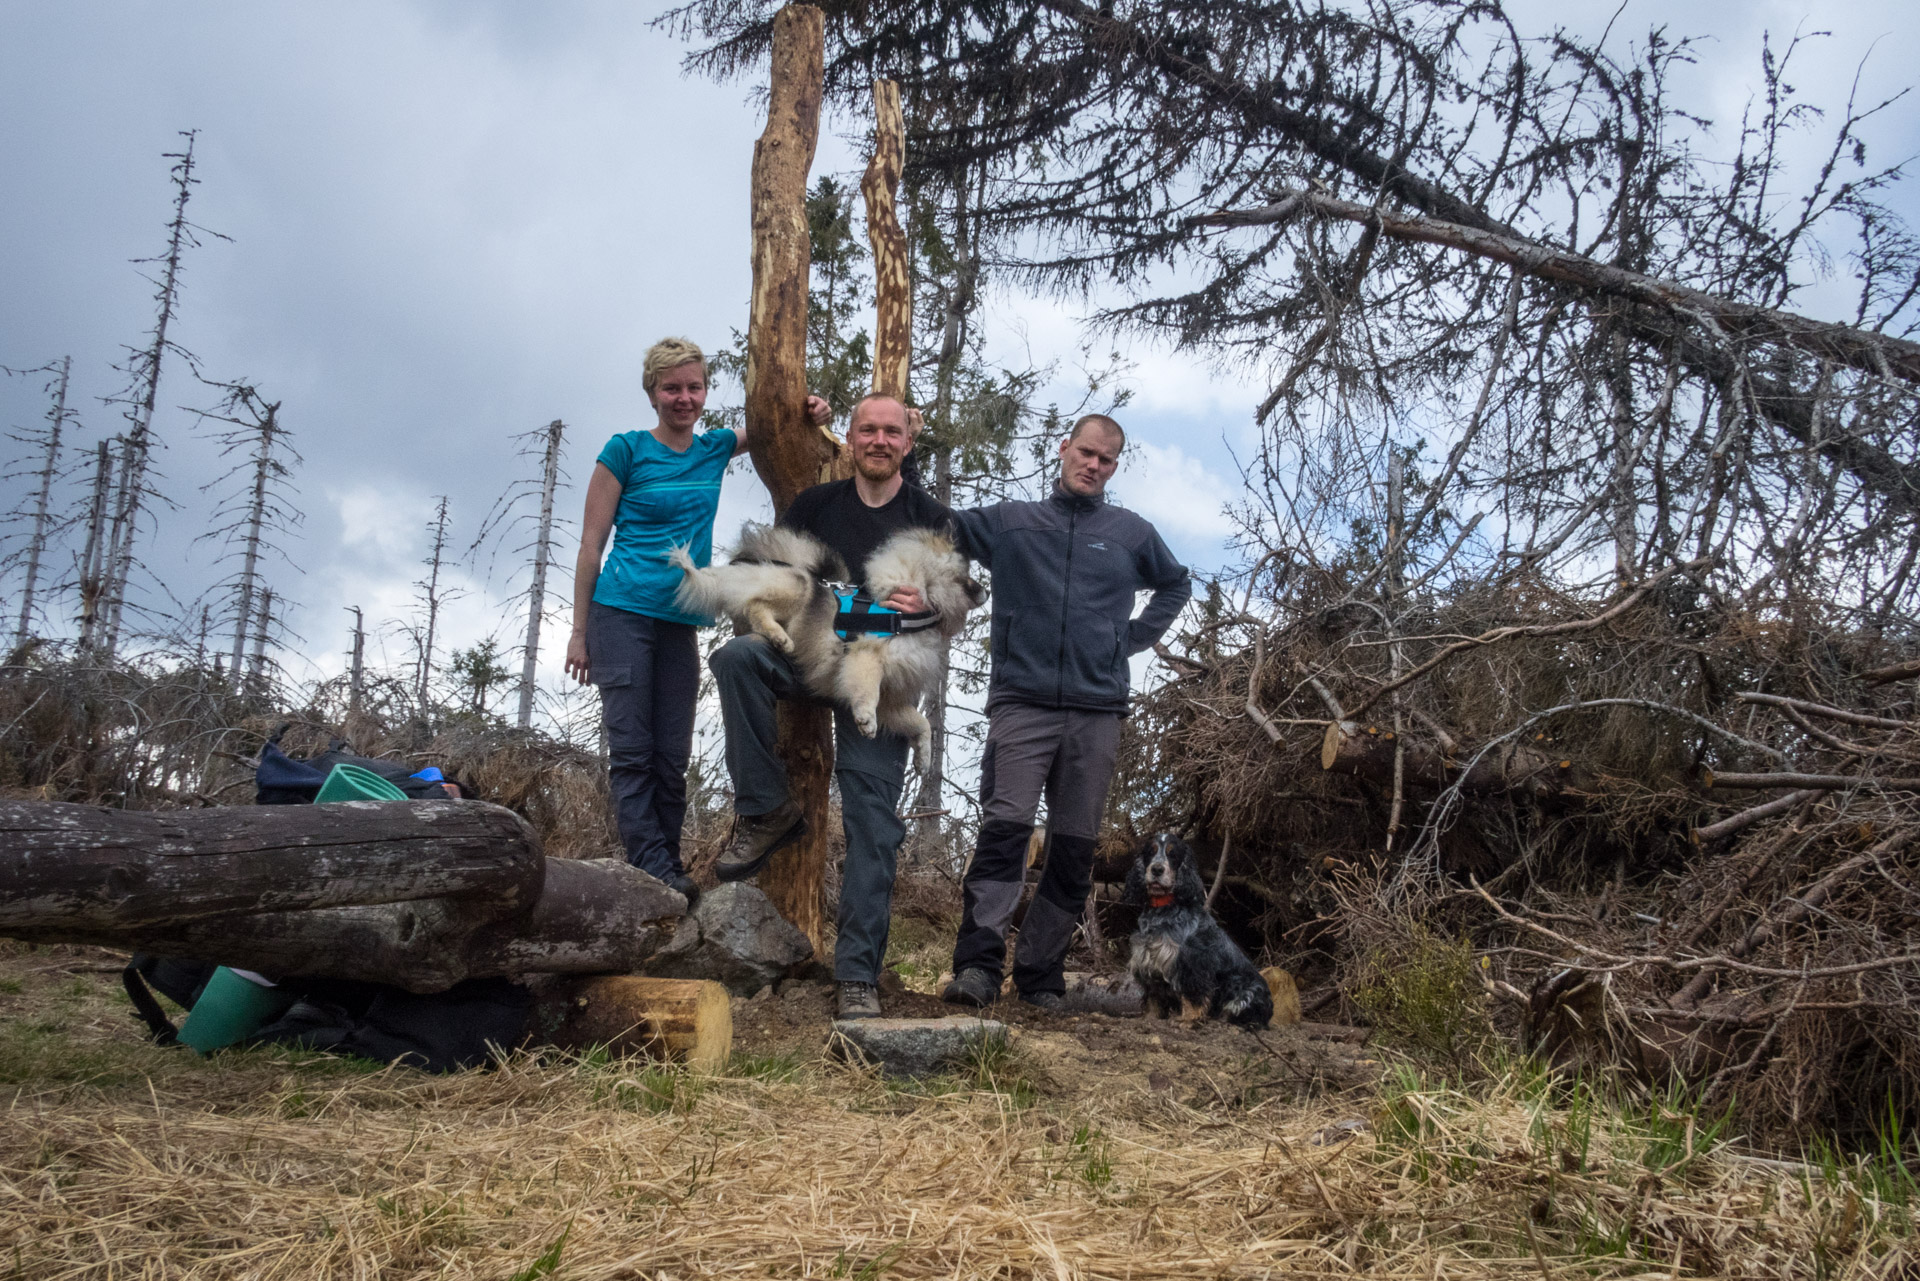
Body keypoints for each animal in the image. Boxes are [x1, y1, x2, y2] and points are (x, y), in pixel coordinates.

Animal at [672, 522, 975, 760]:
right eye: (964, 577)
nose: (983, 590)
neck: (908, 616)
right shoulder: (866, 657)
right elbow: (867, 691)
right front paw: (866, 720)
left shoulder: (891, 699)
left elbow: (919, 723)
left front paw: (923, 758)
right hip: (796, 590)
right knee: (755, 605)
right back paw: (780, 637)